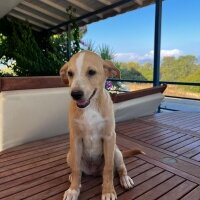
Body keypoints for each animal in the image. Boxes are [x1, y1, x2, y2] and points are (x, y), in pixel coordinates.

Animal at [59, 50, 144, 200]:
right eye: (70, 73)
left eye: (91, 72)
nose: (75, 94)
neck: (90, 106)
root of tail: (94, 171)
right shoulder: (75, 138)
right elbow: (76, 169)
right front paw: (73, 190)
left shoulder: (109, 137)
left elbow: (108, 169)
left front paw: (108, 191)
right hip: (70, 155)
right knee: (78, 170)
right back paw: (73, 179)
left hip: (116, 152)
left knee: (120, 168)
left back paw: (125, 179)